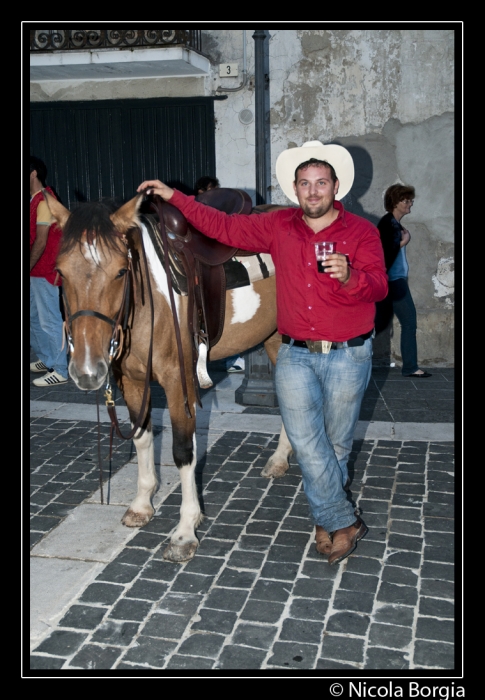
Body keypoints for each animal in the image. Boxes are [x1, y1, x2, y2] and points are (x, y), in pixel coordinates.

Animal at [44, 190, 292, 564]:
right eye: (60, 272)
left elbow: (182, 451)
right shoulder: (131, 381)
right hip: (275, 339)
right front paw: (142, 504)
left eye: (120, 271)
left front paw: (185, 530)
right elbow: (142, 437)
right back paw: (280, 459)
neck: (147, 301)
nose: (86, 370)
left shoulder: (179, 382)